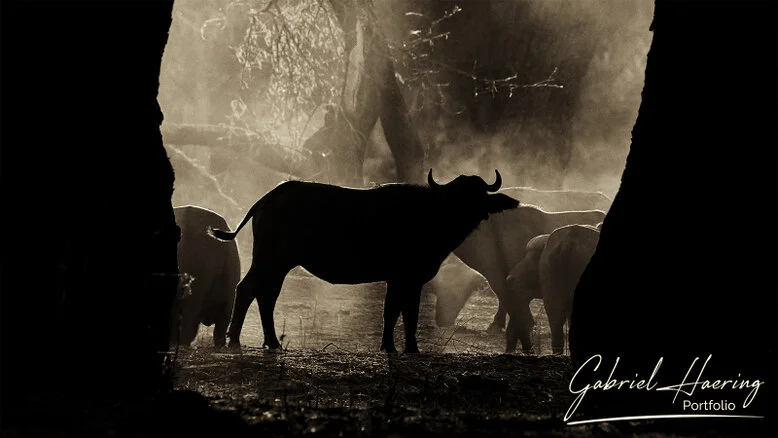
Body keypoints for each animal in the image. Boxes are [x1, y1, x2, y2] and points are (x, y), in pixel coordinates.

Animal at [209, 170, 519, 354]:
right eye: (455, 196)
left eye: (478, 195)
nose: (473, 215)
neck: (429, 216)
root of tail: (271, 195)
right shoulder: (403, 278)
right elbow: (399, 312)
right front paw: (400, 348)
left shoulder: (406, 280)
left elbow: (401, 312)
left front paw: (399, 347)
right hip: (273, 260)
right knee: (255, 292)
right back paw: (246, 340)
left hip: (273, 262)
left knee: (258, 293)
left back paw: (257, 341)